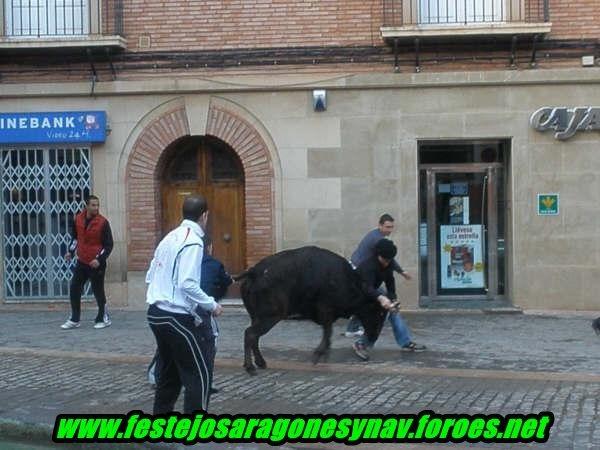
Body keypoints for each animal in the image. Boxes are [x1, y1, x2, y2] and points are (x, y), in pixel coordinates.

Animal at [232, 244, 386, 374]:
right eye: (379, 312)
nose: (373, 336)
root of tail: (254, 271)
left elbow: (327, 334)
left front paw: (324, 355)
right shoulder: (326, 311)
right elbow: (328, 333)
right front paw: (318, 355)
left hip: (257, 317)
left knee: (254, 337)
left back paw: (260, 363)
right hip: (270, 317)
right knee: (250, 334)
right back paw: (251, 367)